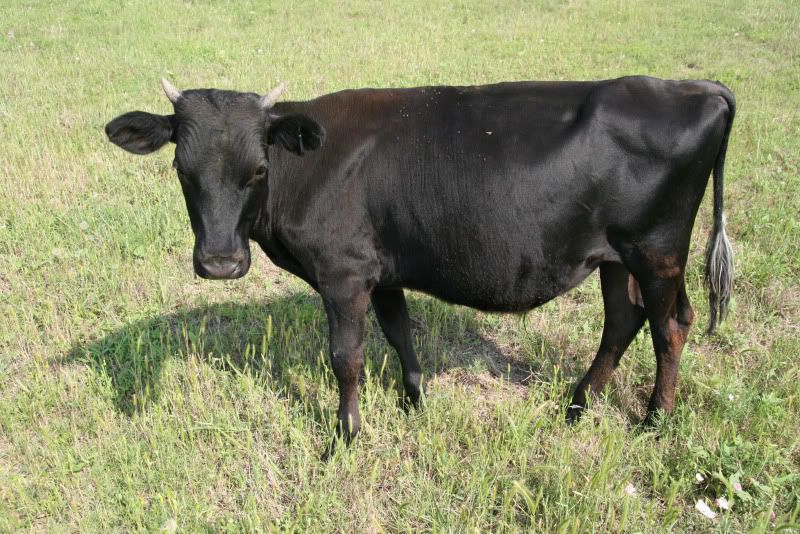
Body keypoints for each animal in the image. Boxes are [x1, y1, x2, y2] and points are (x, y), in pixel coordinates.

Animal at [105, 76, 735, 453]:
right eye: (182, 169)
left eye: (258, 169)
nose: (219, 263)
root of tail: (694, 87)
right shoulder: (383, 270)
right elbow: (401, 334)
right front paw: (415, 402)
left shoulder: (344, 274)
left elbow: (347, 357)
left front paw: (345, 436)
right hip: (614, 255)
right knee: (623, 320)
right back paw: (576, 406)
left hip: (657, 250)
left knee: (669, 325)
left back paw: (654, 420)